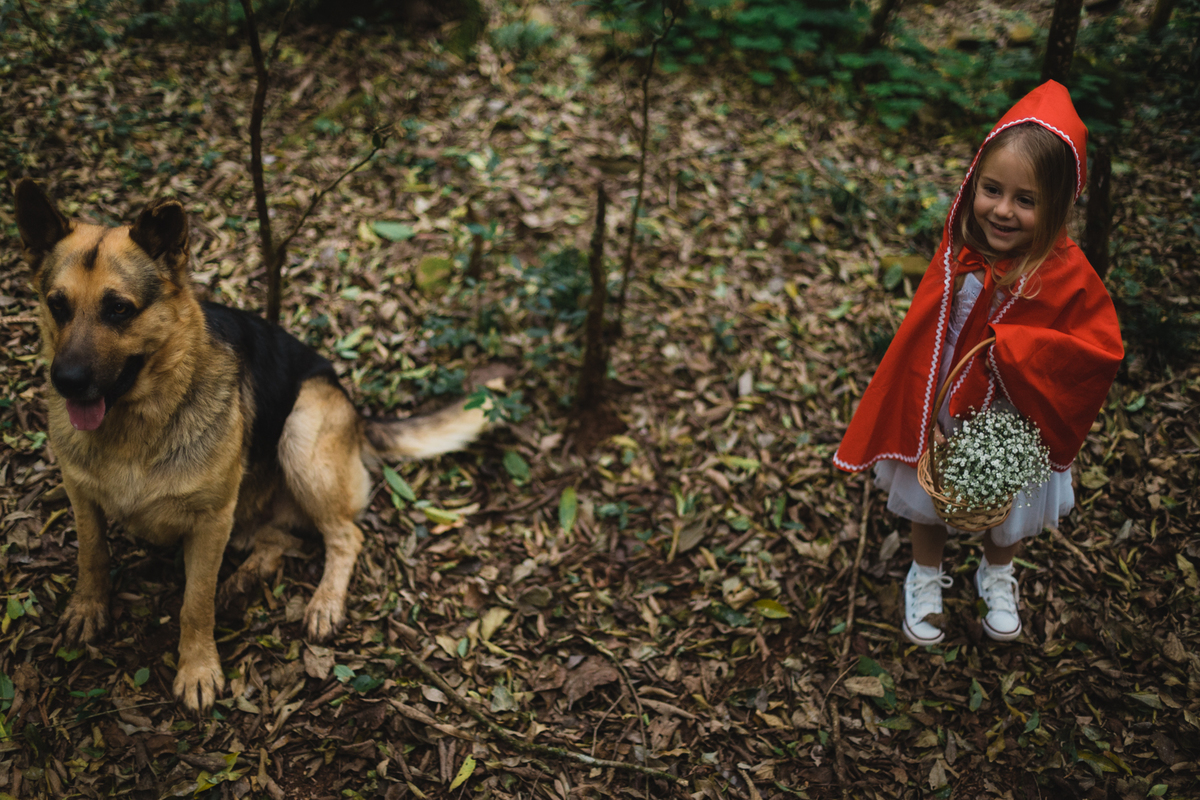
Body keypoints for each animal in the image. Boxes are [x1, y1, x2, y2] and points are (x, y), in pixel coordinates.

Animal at [14, 179, 487, 711]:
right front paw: (88, 606)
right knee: (279, 542)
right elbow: (92, 556)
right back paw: (244, 580)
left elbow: (195, 603)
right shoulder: (82, 497)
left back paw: (322, 603)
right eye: (57, 304)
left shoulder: (210, 521)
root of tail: (356, 412)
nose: (67, 381)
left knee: (346, 536)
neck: (136, 424)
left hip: (299, 433)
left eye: (119, 309)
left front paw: (198, 668)